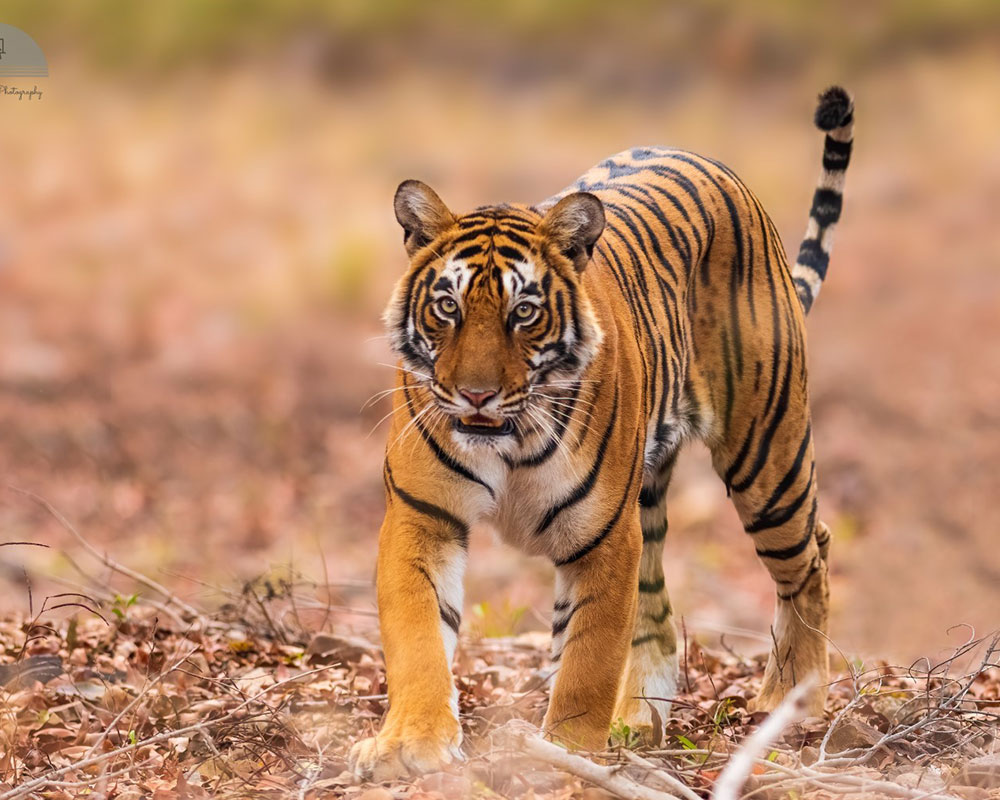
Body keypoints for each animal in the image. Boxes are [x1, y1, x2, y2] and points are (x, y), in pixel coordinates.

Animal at [350, 87, 852, 780]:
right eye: (447, 306)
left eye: (524, 312)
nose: (476, 394)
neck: (508, 441)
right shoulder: (421, 518)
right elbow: (419, 638)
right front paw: (411, 743)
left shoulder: (605, 538)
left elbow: (589, 659)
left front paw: (566, 754)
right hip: (653, 496)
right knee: (660, 613)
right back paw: (638, 720)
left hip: (764, 455)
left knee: (812, 555)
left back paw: (789, 700)